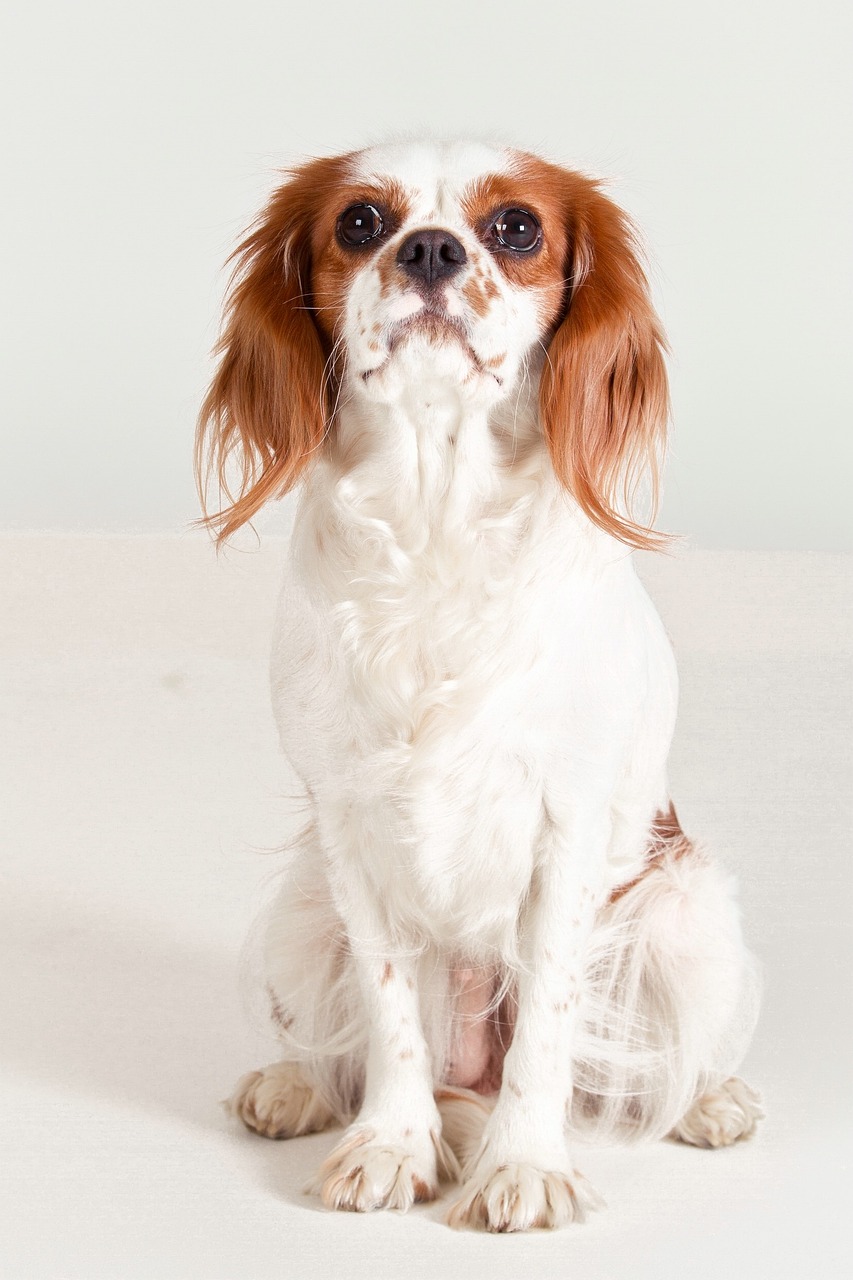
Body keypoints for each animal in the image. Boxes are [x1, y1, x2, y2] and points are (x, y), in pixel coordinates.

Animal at [195, 137, 758, 1228]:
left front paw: (523, 1167)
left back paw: (711, 1099)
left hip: (681, 910)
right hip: (302, 906)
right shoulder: (348, 824)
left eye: (517, 228)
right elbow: (387, 1015)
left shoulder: (568, 826)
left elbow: (544, 1017)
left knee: (665, 1056)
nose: (429, 249)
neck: (434, 511)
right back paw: (293, 1084)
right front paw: (390, 1143)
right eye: (360, 221)